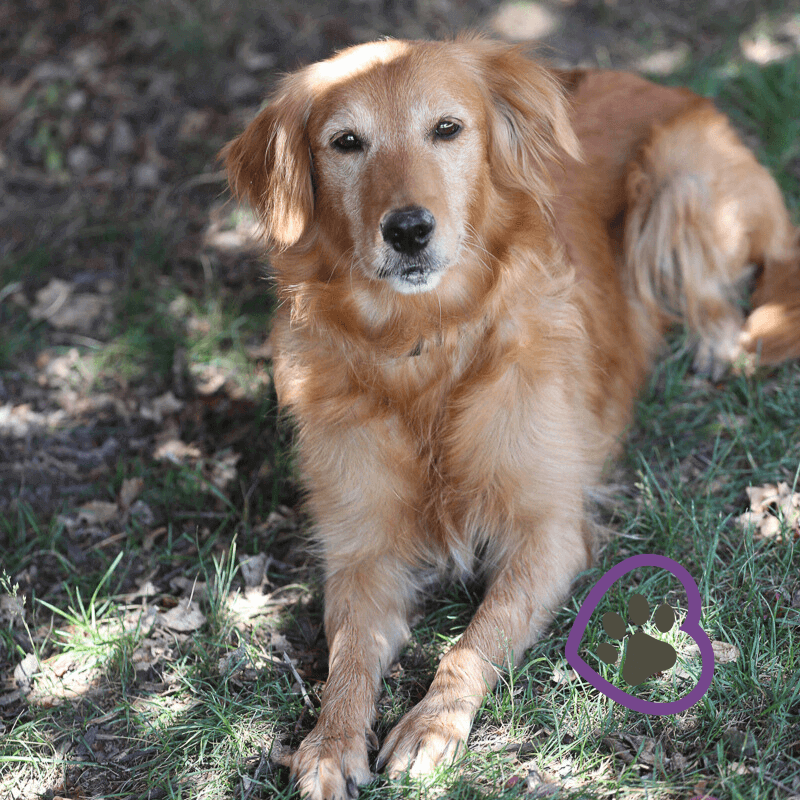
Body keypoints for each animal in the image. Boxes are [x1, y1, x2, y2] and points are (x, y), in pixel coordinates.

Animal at [223, 34, 800, 796]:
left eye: (447, 129)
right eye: (346, 143)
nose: (408, 230)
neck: (425, 347)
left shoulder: (548, 530)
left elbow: (475, 638)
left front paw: (432, 724)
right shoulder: (362, 551)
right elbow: (347, 657)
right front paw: (329, 742)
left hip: (677, 182)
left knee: (714, 295)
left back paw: (715, 345)